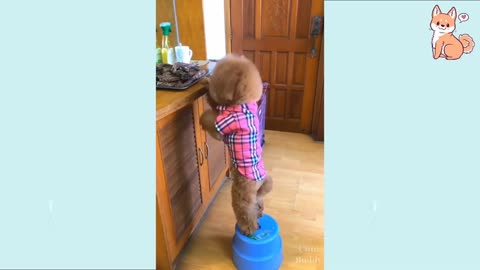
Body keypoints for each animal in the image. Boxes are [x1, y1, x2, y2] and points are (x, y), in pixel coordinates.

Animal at [200, 55, 274, 236]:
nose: (209, 75)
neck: (242, 102)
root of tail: (261, 180)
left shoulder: (223, 125)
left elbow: (211, 116)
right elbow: (214, 104)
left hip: (241, 193)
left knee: (245, 211)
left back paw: (249, 228)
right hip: (256, 195)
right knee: (258, 204)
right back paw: (259, 215)